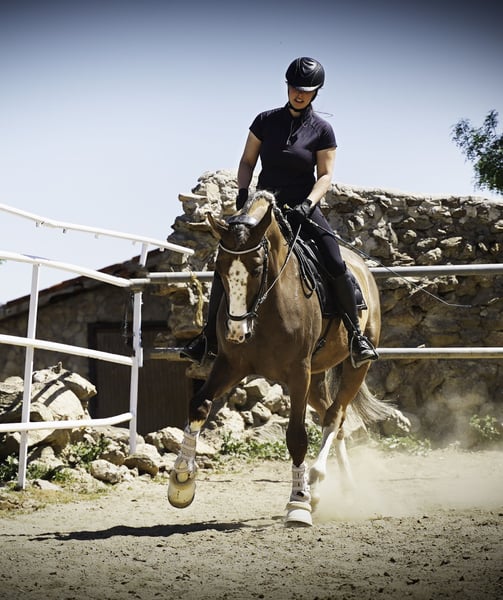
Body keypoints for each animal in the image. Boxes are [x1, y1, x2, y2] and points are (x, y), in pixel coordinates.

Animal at [168, 191, 389, 526]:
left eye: (257, 268)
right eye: (220, 268)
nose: (236, 330)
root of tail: (361, 267)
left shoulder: (298, 372)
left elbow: (296, 436)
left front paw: (297, 503)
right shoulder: (231, 365)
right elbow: (199, 405)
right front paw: (182, 480)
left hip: (354, 367)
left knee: (335, 415)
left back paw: (316, 482)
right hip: (315, 378)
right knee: (333, 419)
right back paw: (331, 488)